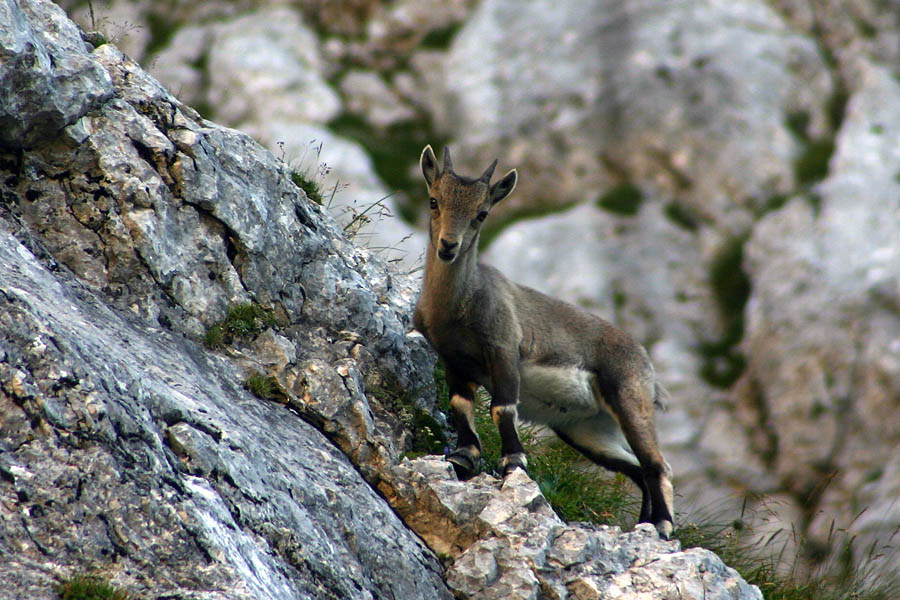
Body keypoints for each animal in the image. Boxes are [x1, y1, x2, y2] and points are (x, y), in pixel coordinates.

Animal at [412, 146, 675, 539]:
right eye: (434, 200)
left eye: (481, 214)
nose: (448, 245)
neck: (458, 306)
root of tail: (647, 364)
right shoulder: (453, 360)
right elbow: (460, 405)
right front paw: (464, 456)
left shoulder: (503, 348)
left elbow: (502, 407)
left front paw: (512, 462)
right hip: (586, 430)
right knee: (636, 467)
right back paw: (644, 523)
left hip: (630, 398)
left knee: (657, 464)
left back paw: (662, 523)